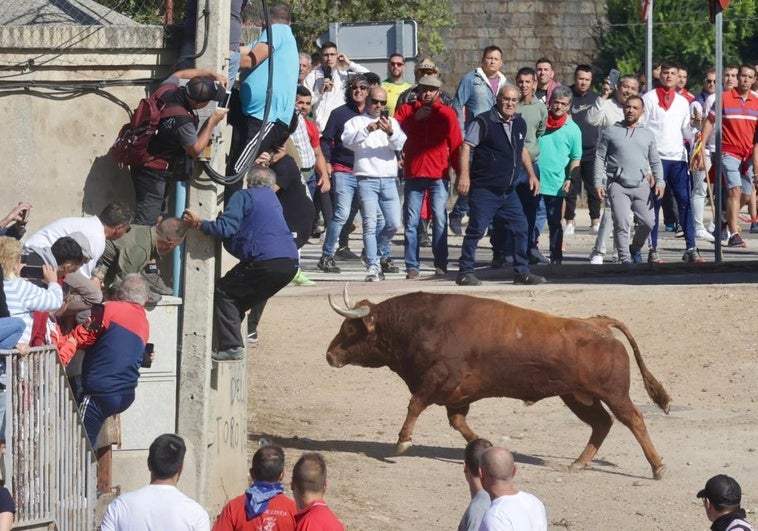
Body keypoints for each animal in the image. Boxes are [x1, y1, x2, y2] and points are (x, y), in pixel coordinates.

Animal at [326, 286, 672, 482]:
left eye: (350, 329)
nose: (329, 355)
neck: (420, 324)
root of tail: (597, 323)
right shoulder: (457, 395)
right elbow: (458, 422)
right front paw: (483, 444)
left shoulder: (438, 379)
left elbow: (415, 405)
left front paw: (403, 441)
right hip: (576, 396)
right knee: (601, 423)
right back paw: (579, 463)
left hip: (613, 393)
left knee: (633, 419)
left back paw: (657, 467)